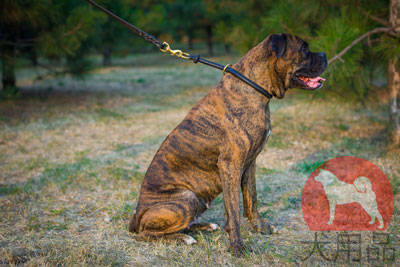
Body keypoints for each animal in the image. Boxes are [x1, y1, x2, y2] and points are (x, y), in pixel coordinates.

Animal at [130, 33, 326, 258]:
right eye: (304, 49)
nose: (324, 54)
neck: (253, 88)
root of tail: (135, 218)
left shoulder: (249, 164)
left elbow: (252, 201)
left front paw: (260, 228)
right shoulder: (230, 165)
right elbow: (234, 212)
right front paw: (237, 247)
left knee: (185, 224)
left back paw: (205, 226)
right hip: (186, 197)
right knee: (146, 234)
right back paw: (182, 238)